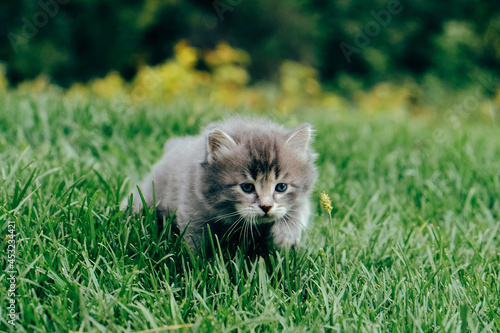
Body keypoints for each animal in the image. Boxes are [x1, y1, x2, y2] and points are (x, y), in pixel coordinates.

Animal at [122, 116, 316, 249]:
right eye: (247, 187)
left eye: (281, 187)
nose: (266, 207)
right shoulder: (193, 208)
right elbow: (196, 245)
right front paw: (199, 268)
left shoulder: (301, 200)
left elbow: (297, 210)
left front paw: (284, 237)